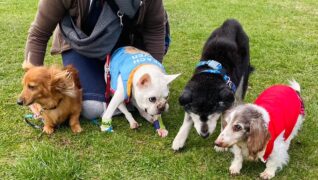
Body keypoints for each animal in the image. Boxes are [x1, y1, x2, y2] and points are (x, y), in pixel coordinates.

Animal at [171, 19, 253, 150]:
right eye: (196, 112)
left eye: (214, 112)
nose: (204, 135)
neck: (209, 75)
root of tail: (231, 21)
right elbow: (187, 119)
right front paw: (179, 139)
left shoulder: (228, 98)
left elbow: (225, 119)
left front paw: (221, 144)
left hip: (244, 72)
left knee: (240, 95)